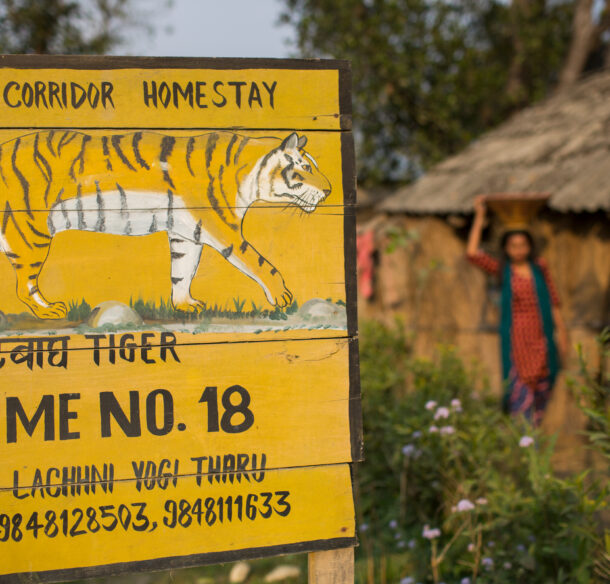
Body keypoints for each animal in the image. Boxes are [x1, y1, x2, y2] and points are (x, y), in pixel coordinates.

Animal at [0, 129, 330, 320]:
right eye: (306, 167)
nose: (328, 190)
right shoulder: (222, 228)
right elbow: (259, 261)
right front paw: (282, 295)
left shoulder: (187, 233)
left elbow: (182, 271)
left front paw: (185, 305)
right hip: (30, 231)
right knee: (24, 285)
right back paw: (49, 311)